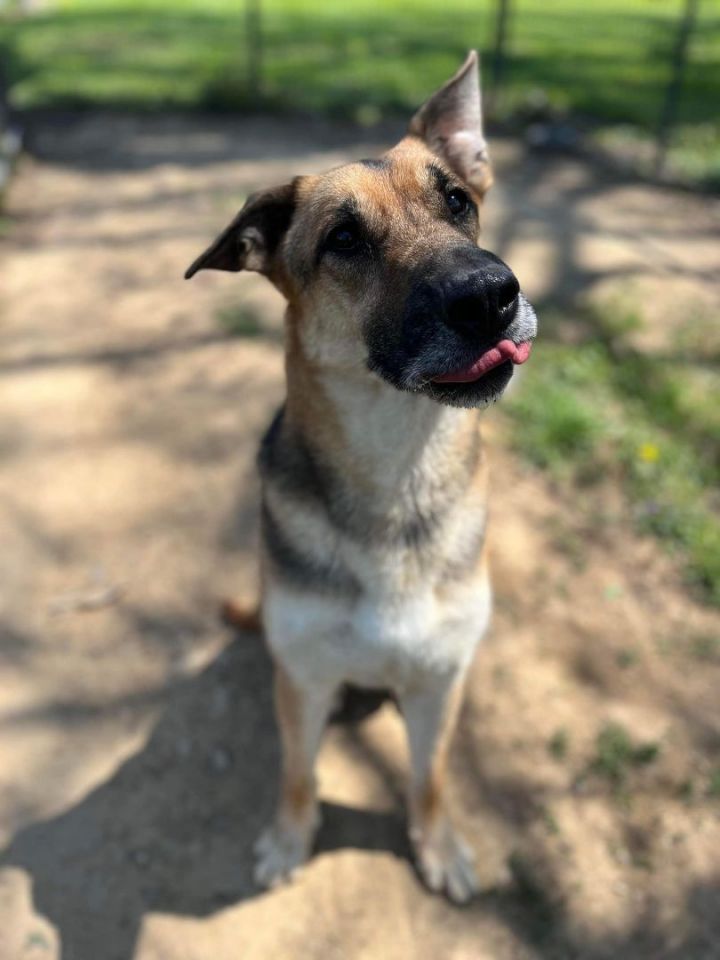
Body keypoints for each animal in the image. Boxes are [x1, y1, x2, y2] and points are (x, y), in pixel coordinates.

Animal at [186, 52, 536, 904]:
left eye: (458, 200)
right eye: (344, 238)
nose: (491, 295)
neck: (395, 476)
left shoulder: (441, 682)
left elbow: (430, 776)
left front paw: (438, 846)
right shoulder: (303, 681)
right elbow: (297, 773)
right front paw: (288, 840)